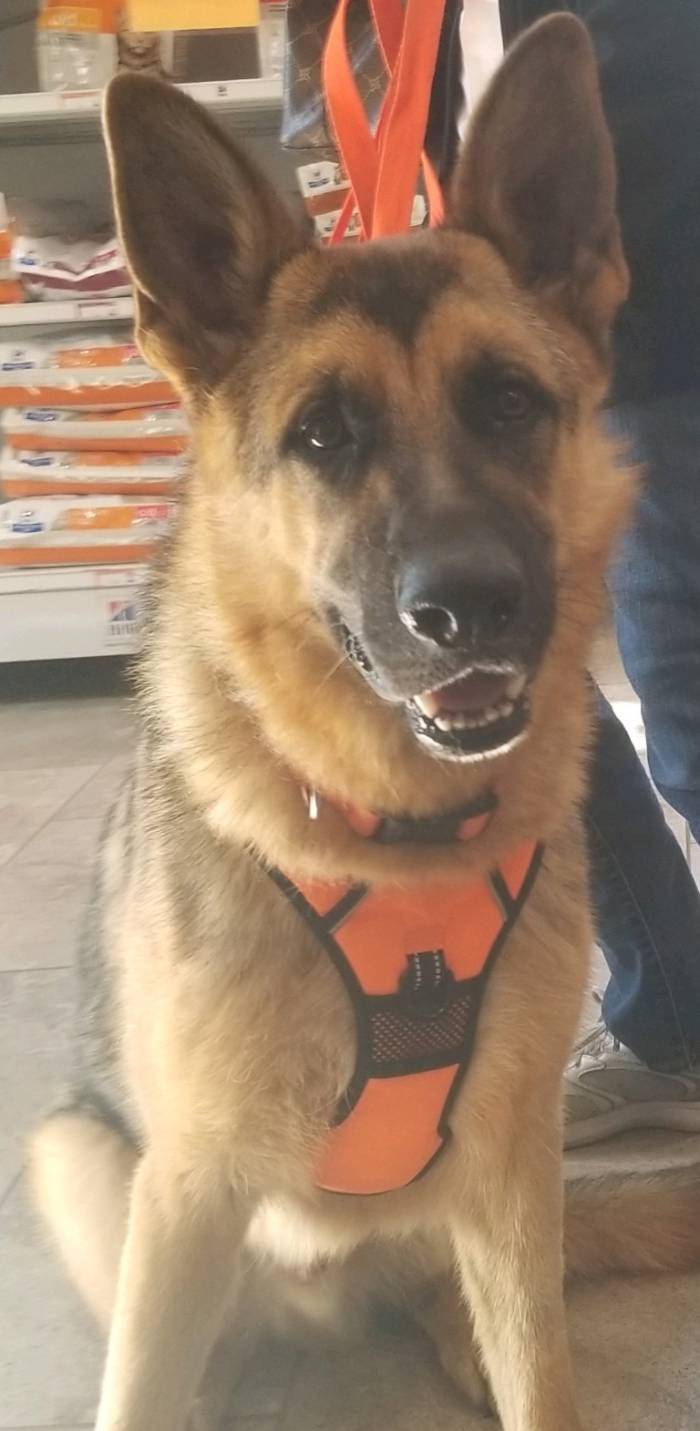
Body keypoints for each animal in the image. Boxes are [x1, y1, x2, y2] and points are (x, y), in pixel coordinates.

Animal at [30, 16, 698, 1431]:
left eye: (509, 401)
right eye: (322, 435)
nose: (469, 607)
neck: (390, 831)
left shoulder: (509, 1172)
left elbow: (542, 1376)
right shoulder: (187, 1190)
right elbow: (138, 1386)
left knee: (486, 1324)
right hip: (84, 1166)